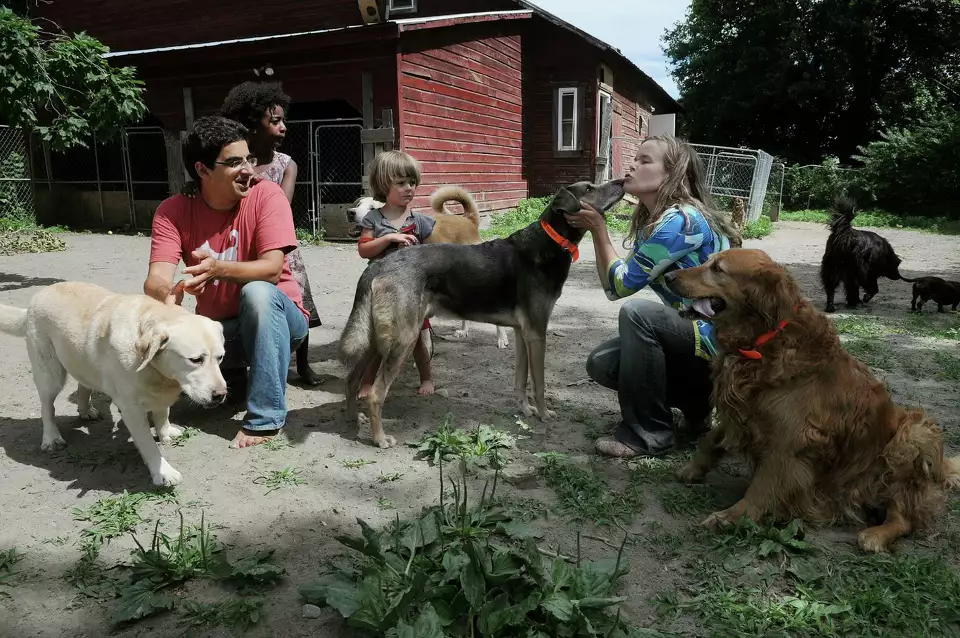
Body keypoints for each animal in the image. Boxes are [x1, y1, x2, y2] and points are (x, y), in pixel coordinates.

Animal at [0, 282, 227, 488]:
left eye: (221, 357)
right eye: (196, 360)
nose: (220, 395)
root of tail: (34, 301)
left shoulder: (160, 393)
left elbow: (162, 414)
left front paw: (165, 433)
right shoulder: (131, 410)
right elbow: (148, 444)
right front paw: (163, 472)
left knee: (83, 385)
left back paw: (86, 410)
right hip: (50, 374)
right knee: (47, 407)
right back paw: (51, 438)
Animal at [342, 179, 628, 450]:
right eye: (589, 188)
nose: (622, 181)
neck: (550, 241)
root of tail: (381, 264)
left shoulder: (522, 333)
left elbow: (520, 380)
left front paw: (525, 410)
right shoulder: (537, 332)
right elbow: (539, 383)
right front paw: (544, 414)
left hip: (376, 339)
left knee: (352, 379)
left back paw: (352, 421)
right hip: (402, 339)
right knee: (375, 394)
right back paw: (380, 438)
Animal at [668, 250, 960, 556]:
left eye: (718, 269)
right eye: (709, 261)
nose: (668, 276)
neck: (763, 342)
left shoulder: (789, 442)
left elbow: (762, 487)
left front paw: (731, 517)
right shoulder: (742, 413)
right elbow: (711, 439)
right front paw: (693, 469)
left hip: (913, 434)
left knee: (904, 518)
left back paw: (876, 535)